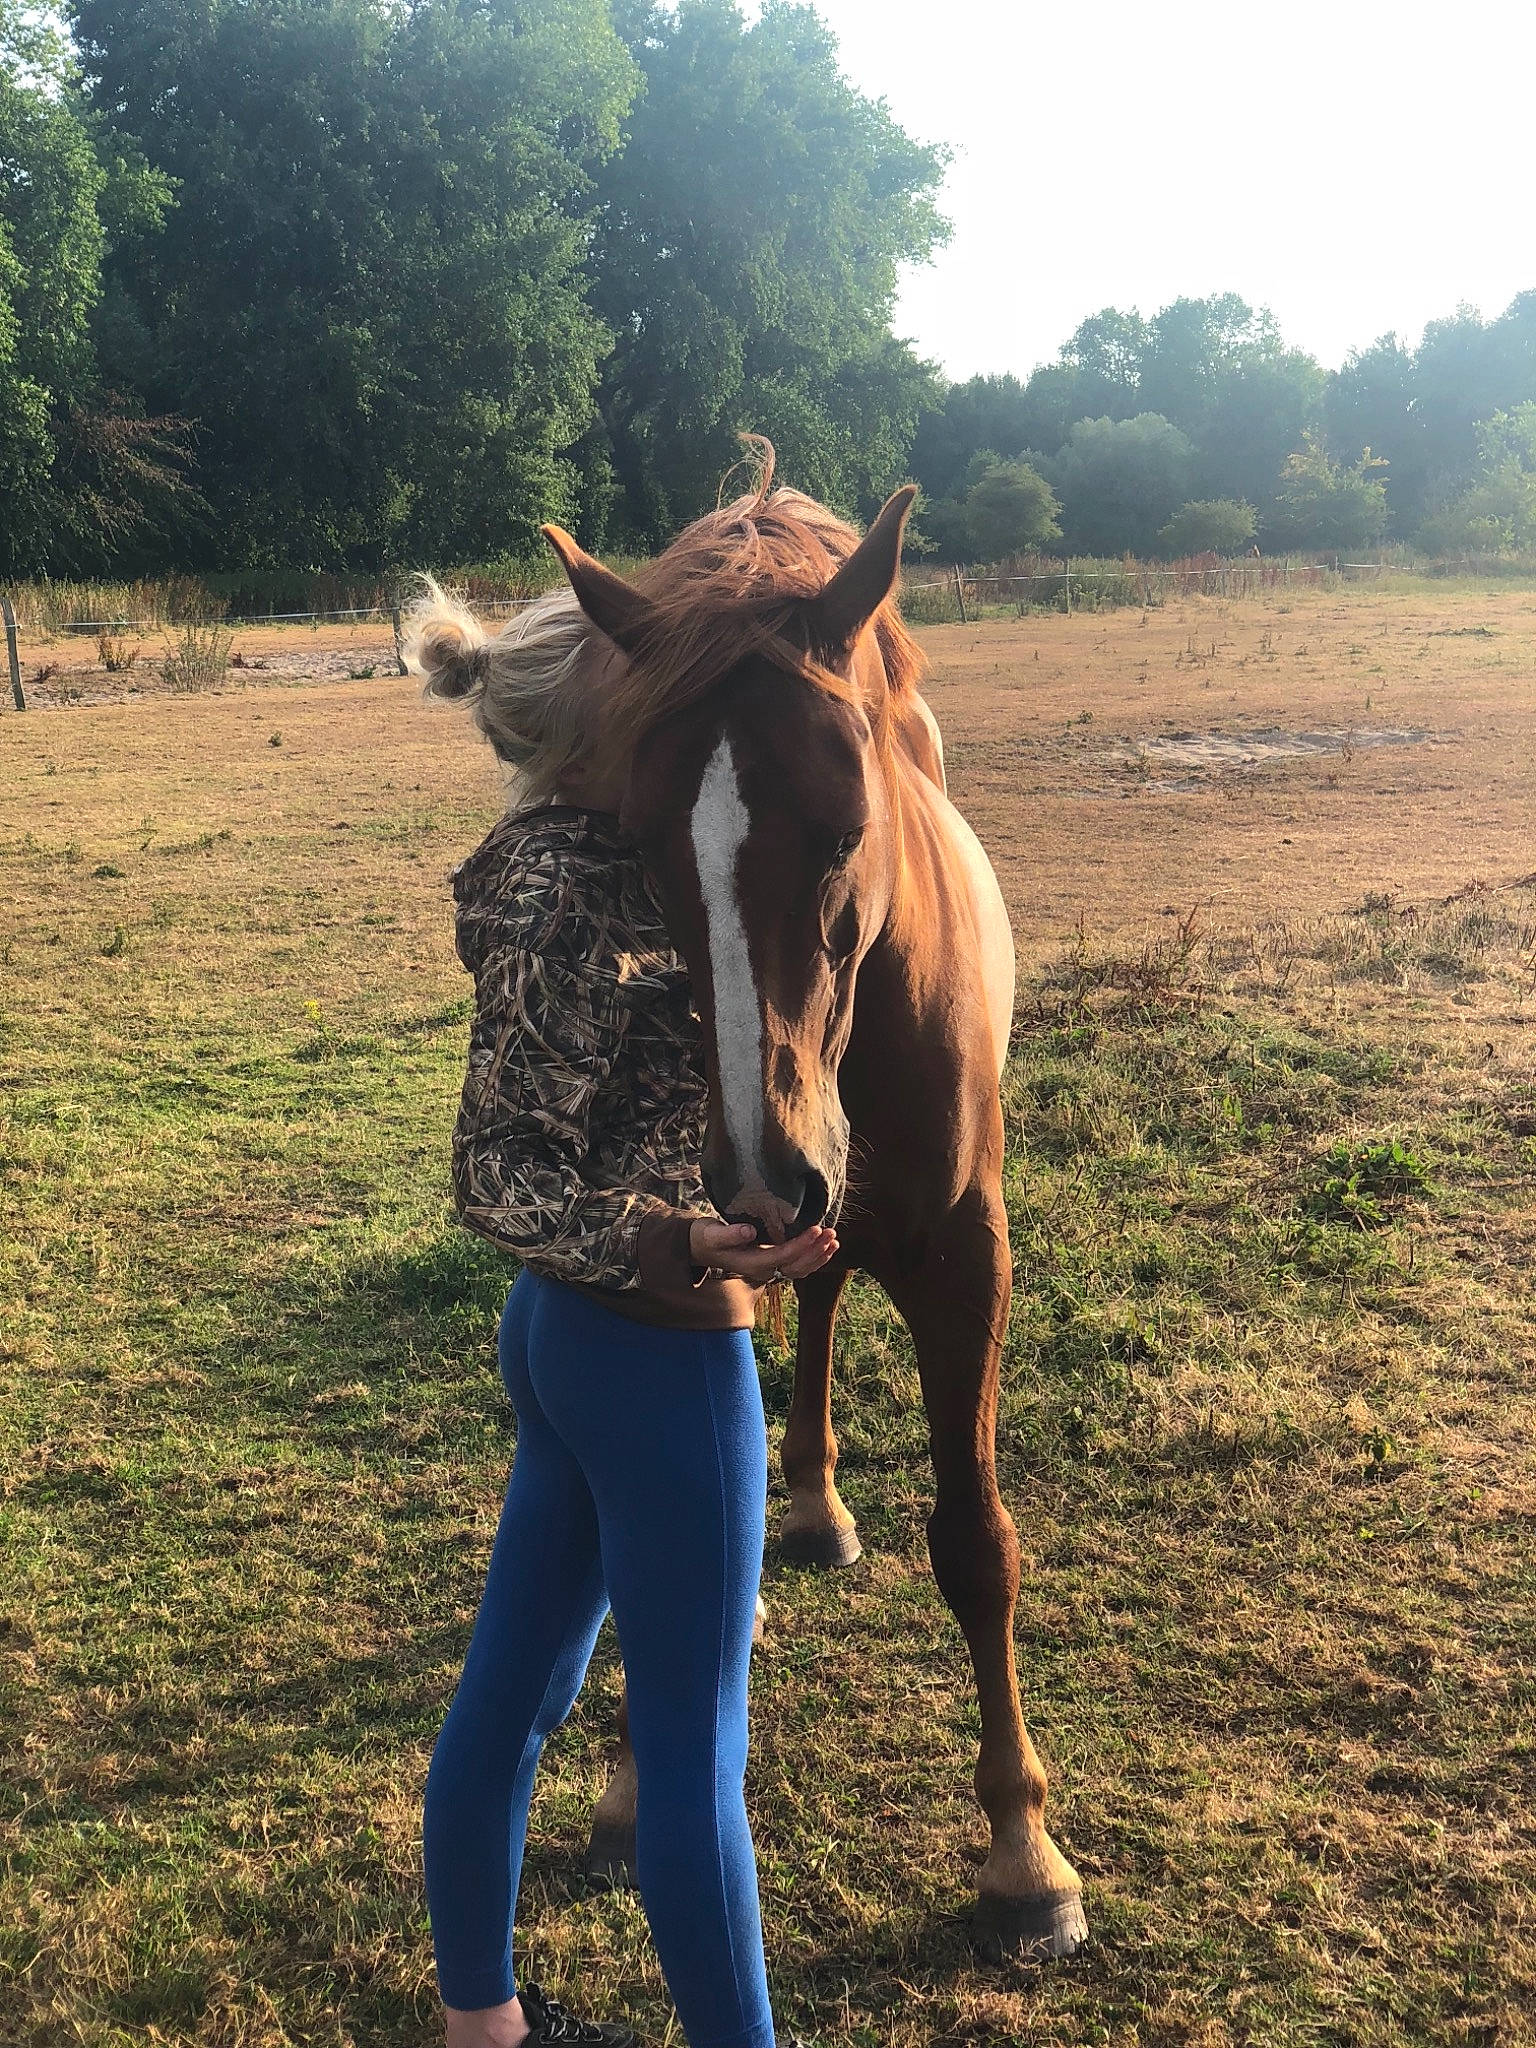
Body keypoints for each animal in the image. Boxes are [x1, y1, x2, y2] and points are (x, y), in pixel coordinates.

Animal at [538, 465, 1087, 1962]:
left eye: (847, 828)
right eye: (643, 845)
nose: (766, 1171)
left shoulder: (967, 1259)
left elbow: (977, 1543)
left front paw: (1024, 1854)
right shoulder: (685, 1251)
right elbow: (667, 1537)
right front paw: (630, 1785)